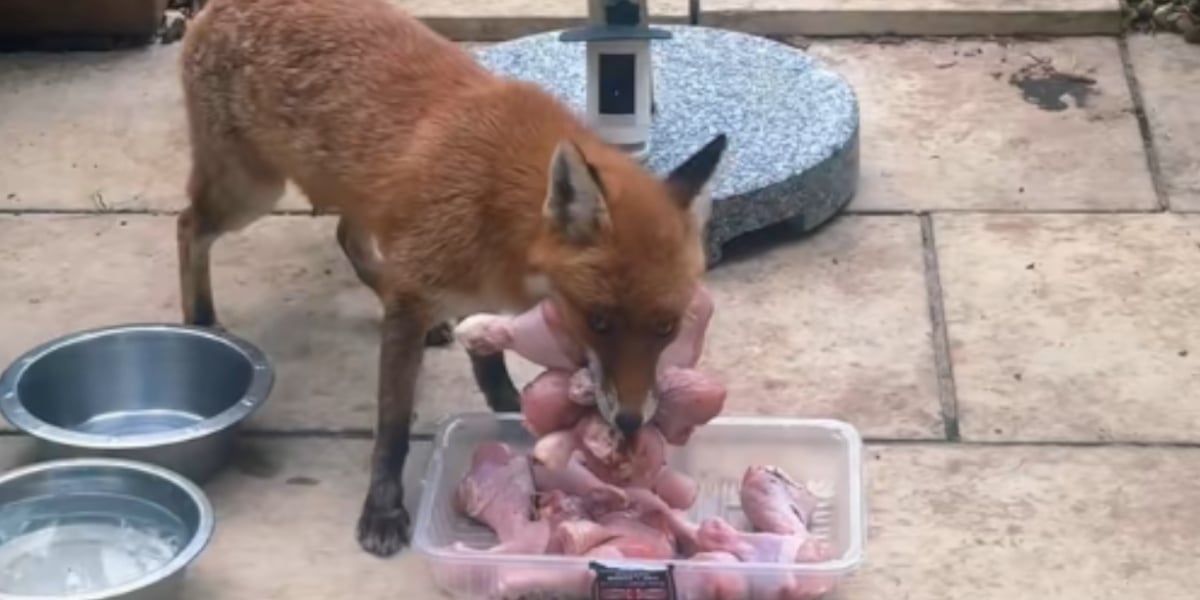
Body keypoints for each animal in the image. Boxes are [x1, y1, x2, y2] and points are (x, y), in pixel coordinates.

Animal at [177, 0, 727, 557]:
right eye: (599, 322)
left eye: (667, 328)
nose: (632, 421)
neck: (495, 200)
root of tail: (217, 9)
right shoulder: (415, 292)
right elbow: (393, 424)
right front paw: (383, 509)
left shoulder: (465, 288)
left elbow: (488, 362)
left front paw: (512, 414)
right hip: (251, 191)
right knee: (188, 227)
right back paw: (199, 320)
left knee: (346, 235)